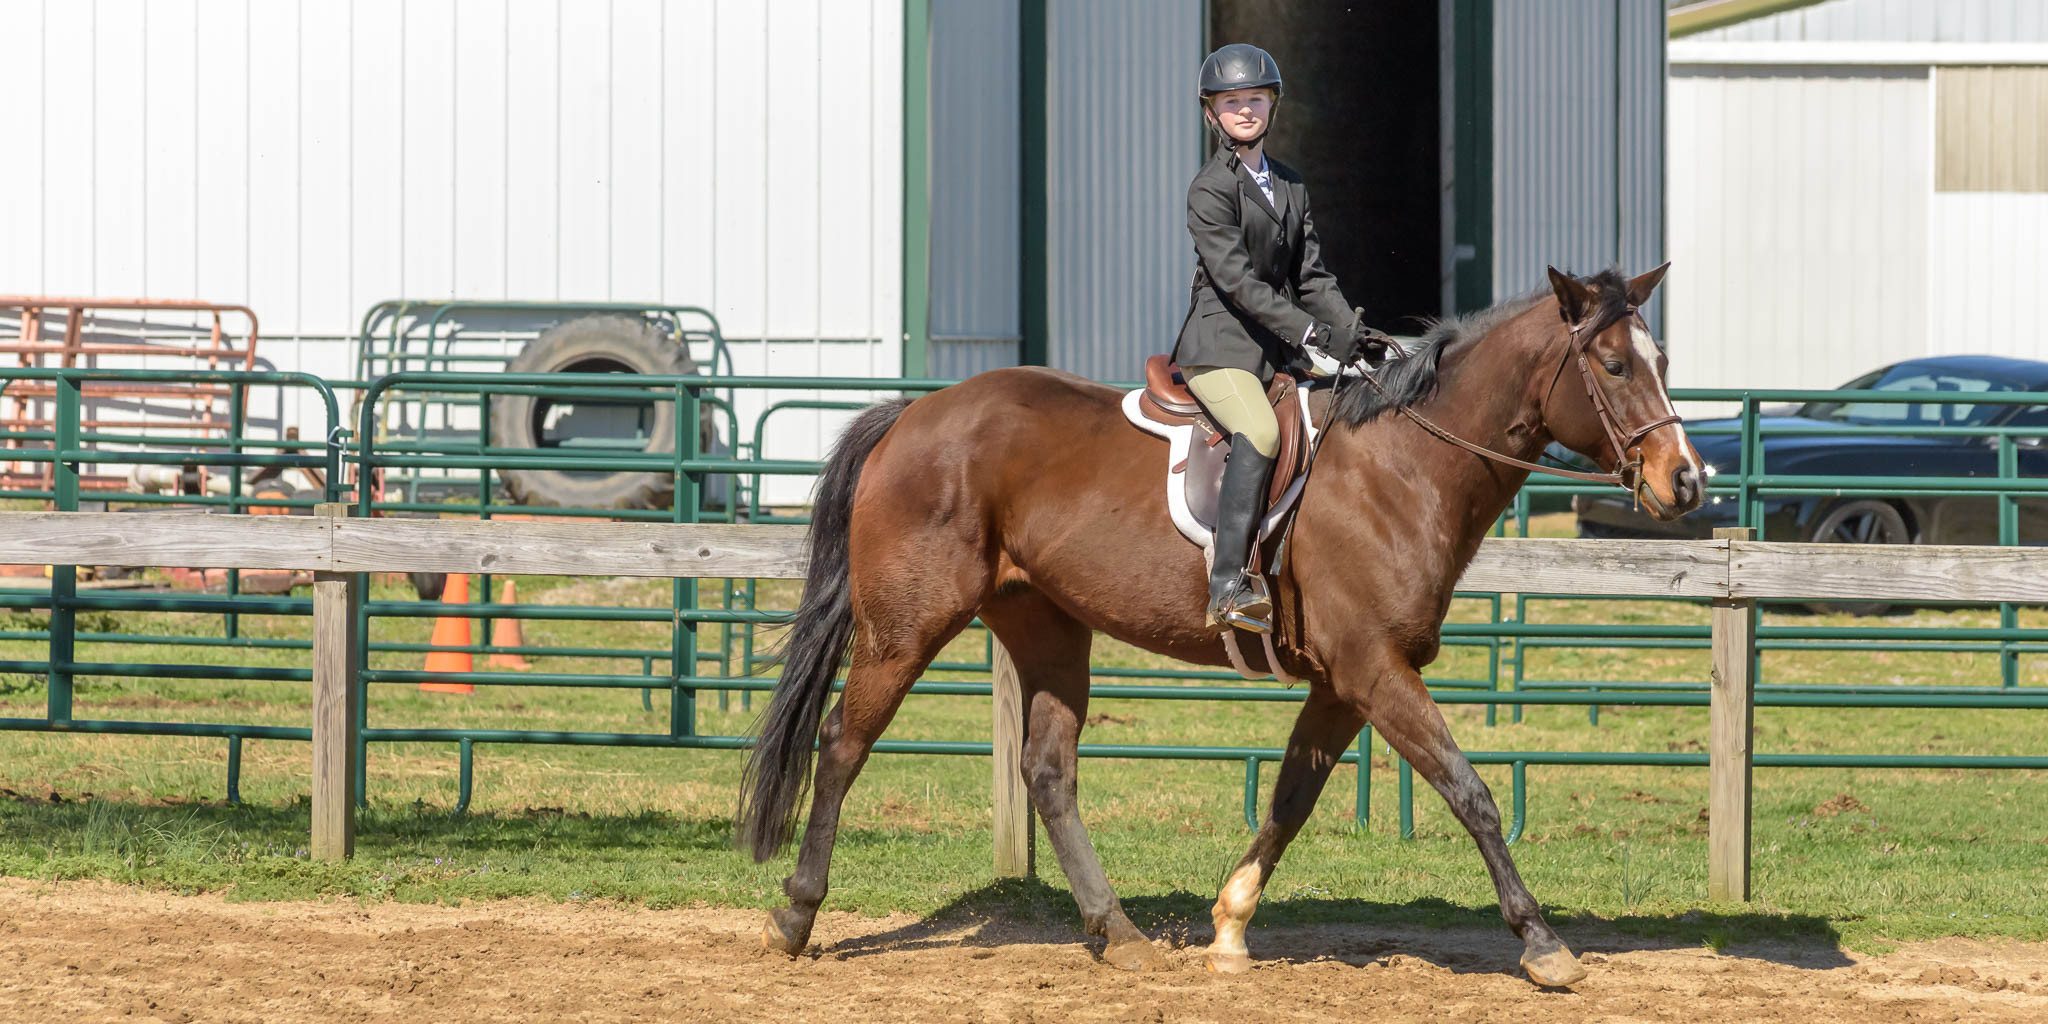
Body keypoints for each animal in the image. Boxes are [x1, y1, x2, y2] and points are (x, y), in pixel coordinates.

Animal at [745, 268, 1703, 987]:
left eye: (1661, 359)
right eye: (1614, 366)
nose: (1686, 482)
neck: (1405, 464)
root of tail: (913, 414)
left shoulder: (1344, 682)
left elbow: (1292, 798)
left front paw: (1231, 929)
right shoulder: (1374, 670)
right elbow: (1470, 793)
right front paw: (1543, 946)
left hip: (1046, 626)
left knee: (1048, 772)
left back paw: (1118, 934)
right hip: (906, 628)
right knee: (843, 744)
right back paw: (795, 914)